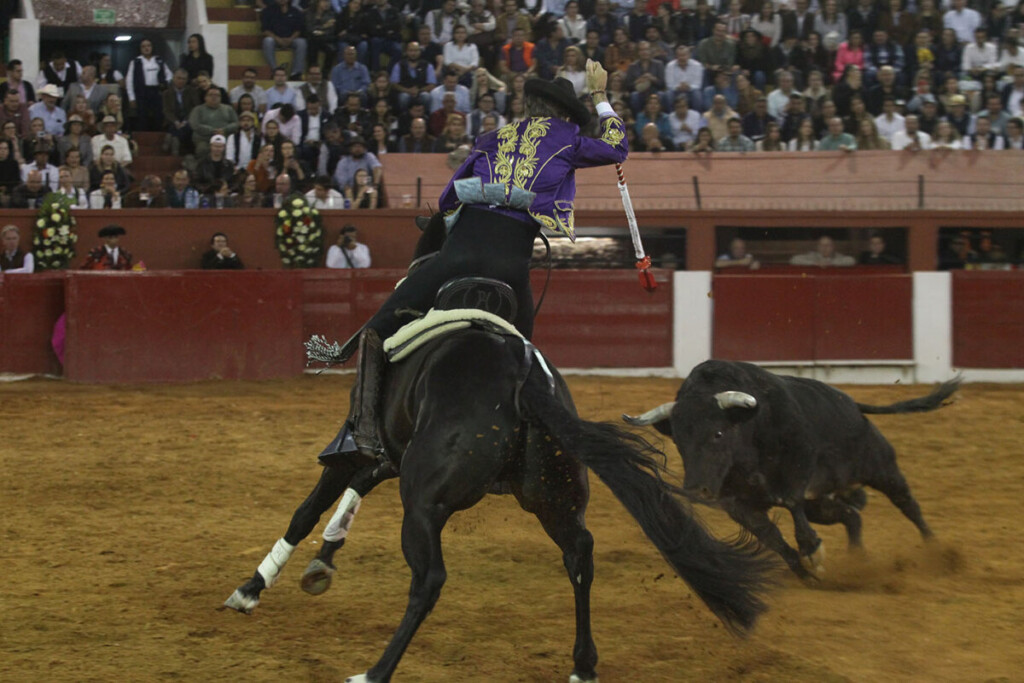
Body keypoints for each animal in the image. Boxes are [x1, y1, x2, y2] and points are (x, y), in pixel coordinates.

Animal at [224, 215, 770, 683]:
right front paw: (323, 561)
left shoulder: (361, 450)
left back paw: (374, 671)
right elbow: (348, 496)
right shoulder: (391, 457)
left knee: (430, 579)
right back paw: (583, 664)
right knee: (579, 556)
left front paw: (250, 589)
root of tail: (519, 376)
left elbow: (307, 509)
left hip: (424, 504)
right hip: (551, 497)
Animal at [622, 360, 958, 581]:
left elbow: (790, 502)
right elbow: (770, 536)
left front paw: (812, 552)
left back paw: (938, 552)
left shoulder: (798, 470)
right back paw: (857, 559)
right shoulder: (737, 505)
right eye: (678, 441)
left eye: (717, 433)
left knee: (908, 505)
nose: (696, 490)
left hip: (881, 468)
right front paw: (803, 570)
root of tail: (852, 405)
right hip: (821, 503)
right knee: (852, 516)